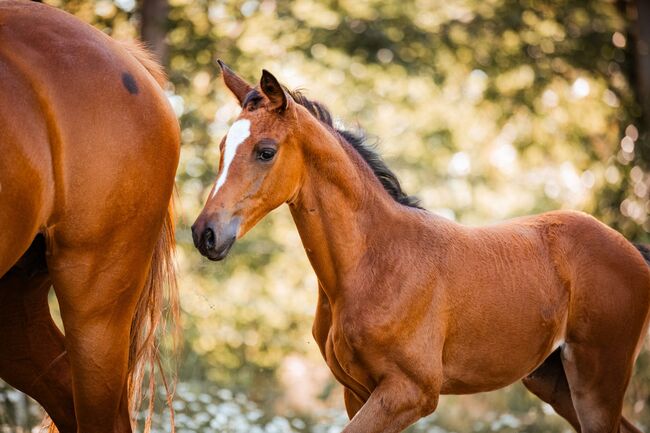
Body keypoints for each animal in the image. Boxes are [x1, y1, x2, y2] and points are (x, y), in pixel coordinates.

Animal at [192, 64, 648, 432]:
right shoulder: (357, 392)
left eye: (266, 151)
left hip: (598, 379)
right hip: (554, 381)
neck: (372, 263)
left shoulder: (410, 393)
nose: (204, 233)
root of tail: (630, 248)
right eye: (222, 148)